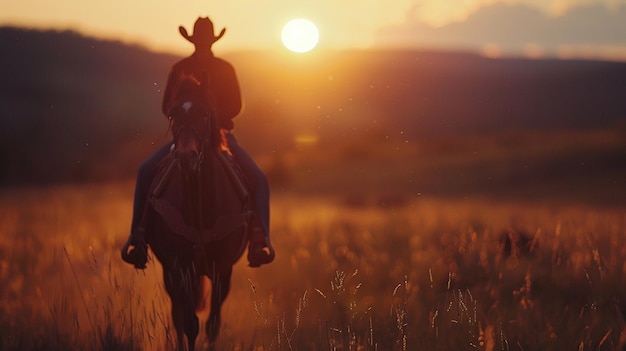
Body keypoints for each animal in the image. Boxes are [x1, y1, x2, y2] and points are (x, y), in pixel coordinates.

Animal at [132, 75, 251, 351]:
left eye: (205, 112)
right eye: (173, 113)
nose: (187, 156)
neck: (200, 205)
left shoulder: (223, 268)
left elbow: (213, 324)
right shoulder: (180, 266)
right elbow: (189, 323)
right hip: (171, 273)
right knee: (177, 315)